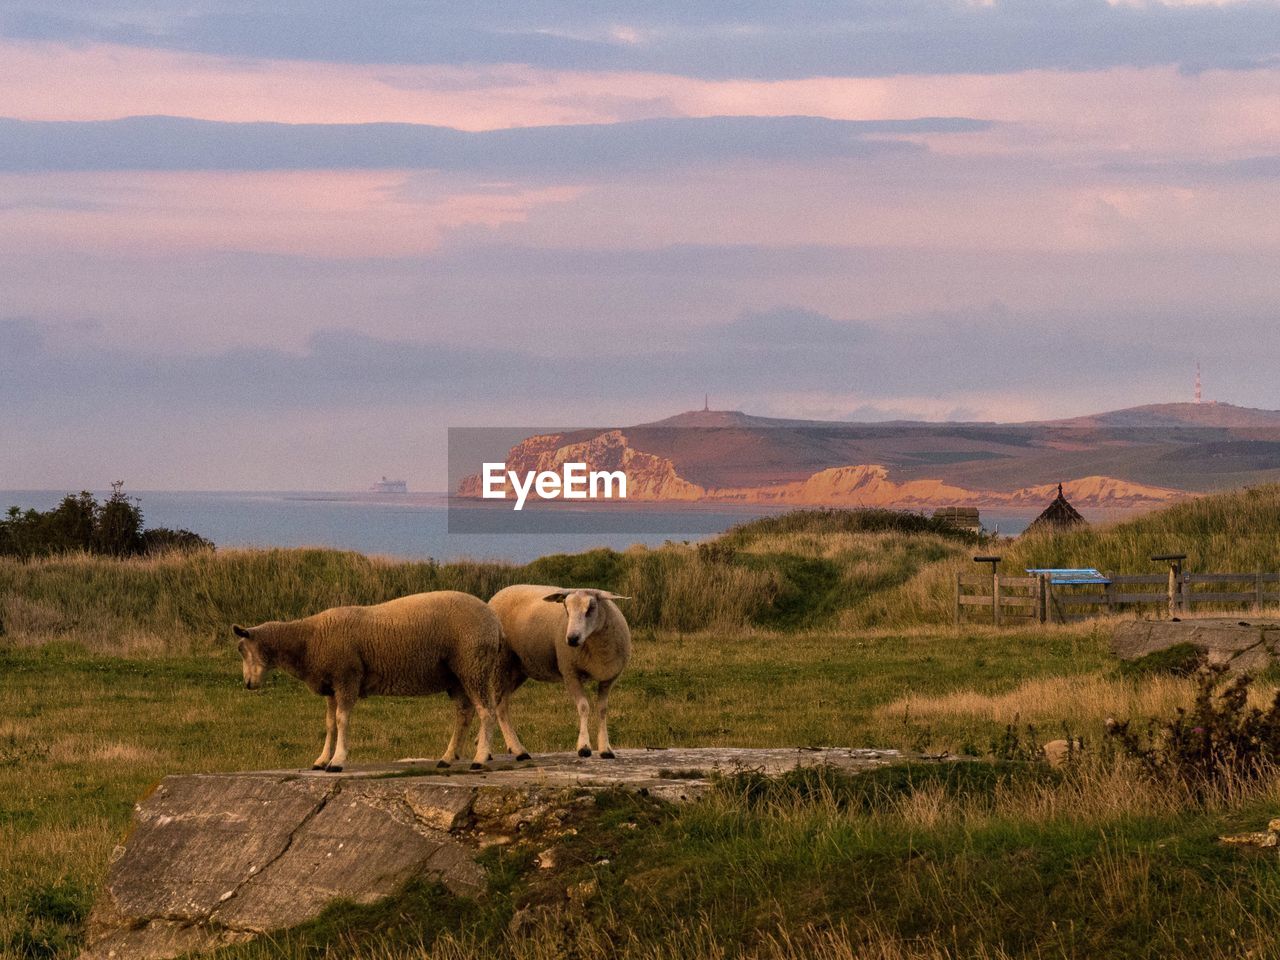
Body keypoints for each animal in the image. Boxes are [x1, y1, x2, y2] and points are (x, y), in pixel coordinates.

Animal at [231, 593, 529, 773]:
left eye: (242, 649)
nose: (247, 684)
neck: (308, 639)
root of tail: (495, 622)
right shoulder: (332, 685)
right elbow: (329, 724)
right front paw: (321, 759)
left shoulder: (347, 677)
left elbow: (341, 720)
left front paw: (337, 760)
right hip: (456, 676)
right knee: (464, 715)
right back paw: (447, 757)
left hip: (474, 665)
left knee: (486, 712)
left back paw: (479, 758)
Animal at [486, 586, 632, 757]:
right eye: (566, 608)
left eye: (591, 608)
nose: (572, 639)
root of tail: (498, 594)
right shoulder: (570, 673)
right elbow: (584, 707)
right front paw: (584, 747)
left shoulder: (609, 678)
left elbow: (602, 710)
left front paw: (605, 749)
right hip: (501, 664)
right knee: (500, 707)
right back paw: (517, 749)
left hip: (517, 669)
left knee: (497, 704)